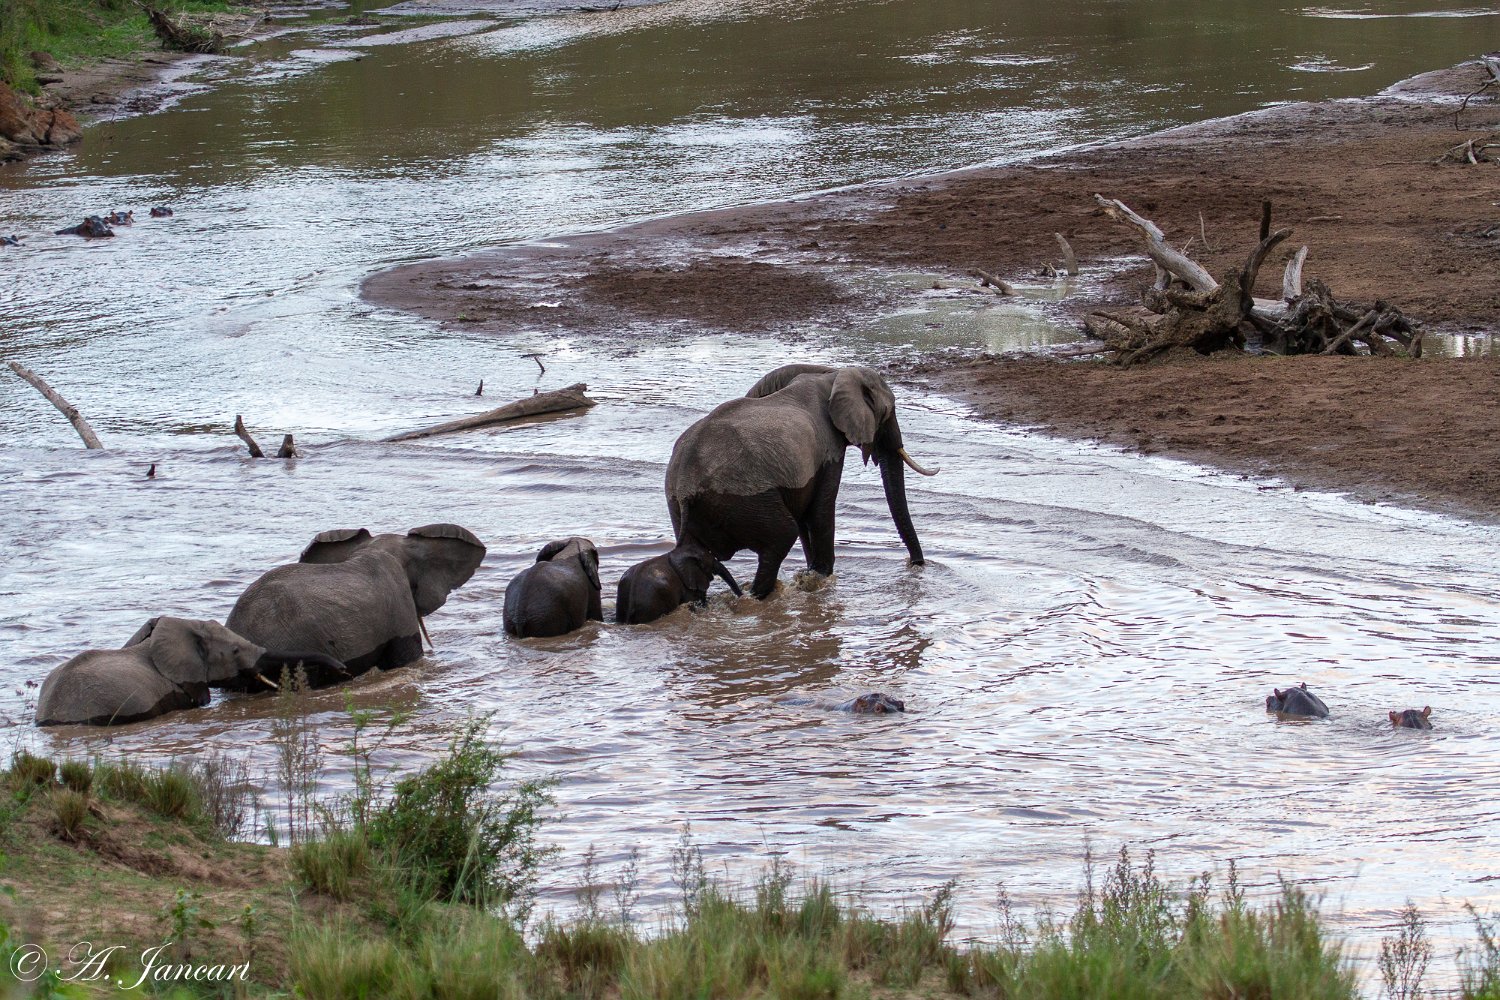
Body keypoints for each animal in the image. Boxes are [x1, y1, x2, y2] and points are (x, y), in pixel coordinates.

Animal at [662, 363, 938, 601]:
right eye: (889, 412)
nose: (915, 565)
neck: (831, 376)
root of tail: (685, 482)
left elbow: (806, 513)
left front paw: (811, 575)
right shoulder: (828, 451)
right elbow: (820, 511)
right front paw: (821, 577)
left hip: (684, 507)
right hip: (742, 501)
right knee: (783, 535)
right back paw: (757, 598)